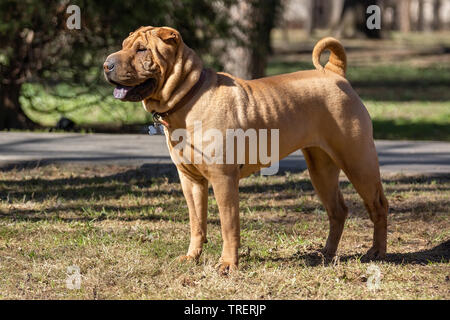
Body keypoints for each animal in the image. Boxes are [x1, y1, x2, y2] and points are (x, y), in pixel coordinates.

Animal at [104, 26, 386, 274]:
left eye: (142, 49)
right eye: (123, 46)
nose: (106, 64)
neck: (188, 98)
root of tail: (334, 73)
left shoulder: (223, 179)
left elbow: (228, 226)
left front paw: (228, 264)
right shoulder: (190, 180)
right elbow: (197, 223)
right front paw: (192, 257)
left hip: (358, 162)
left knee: (379, 205)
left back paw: (377, 252)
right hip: (321, 169)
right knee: (338, 210)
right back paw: (327, 253)